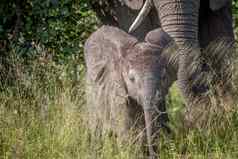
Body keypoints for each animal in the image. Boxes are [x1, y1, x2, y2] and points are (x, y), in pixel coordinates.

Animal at [84, 25, 177, 157]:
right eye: (131, 79)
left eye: (164, 77)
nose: (152, 155)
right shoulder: (117, 94)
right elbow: (126, 134)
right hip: (91, 95)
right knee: (96, 128)